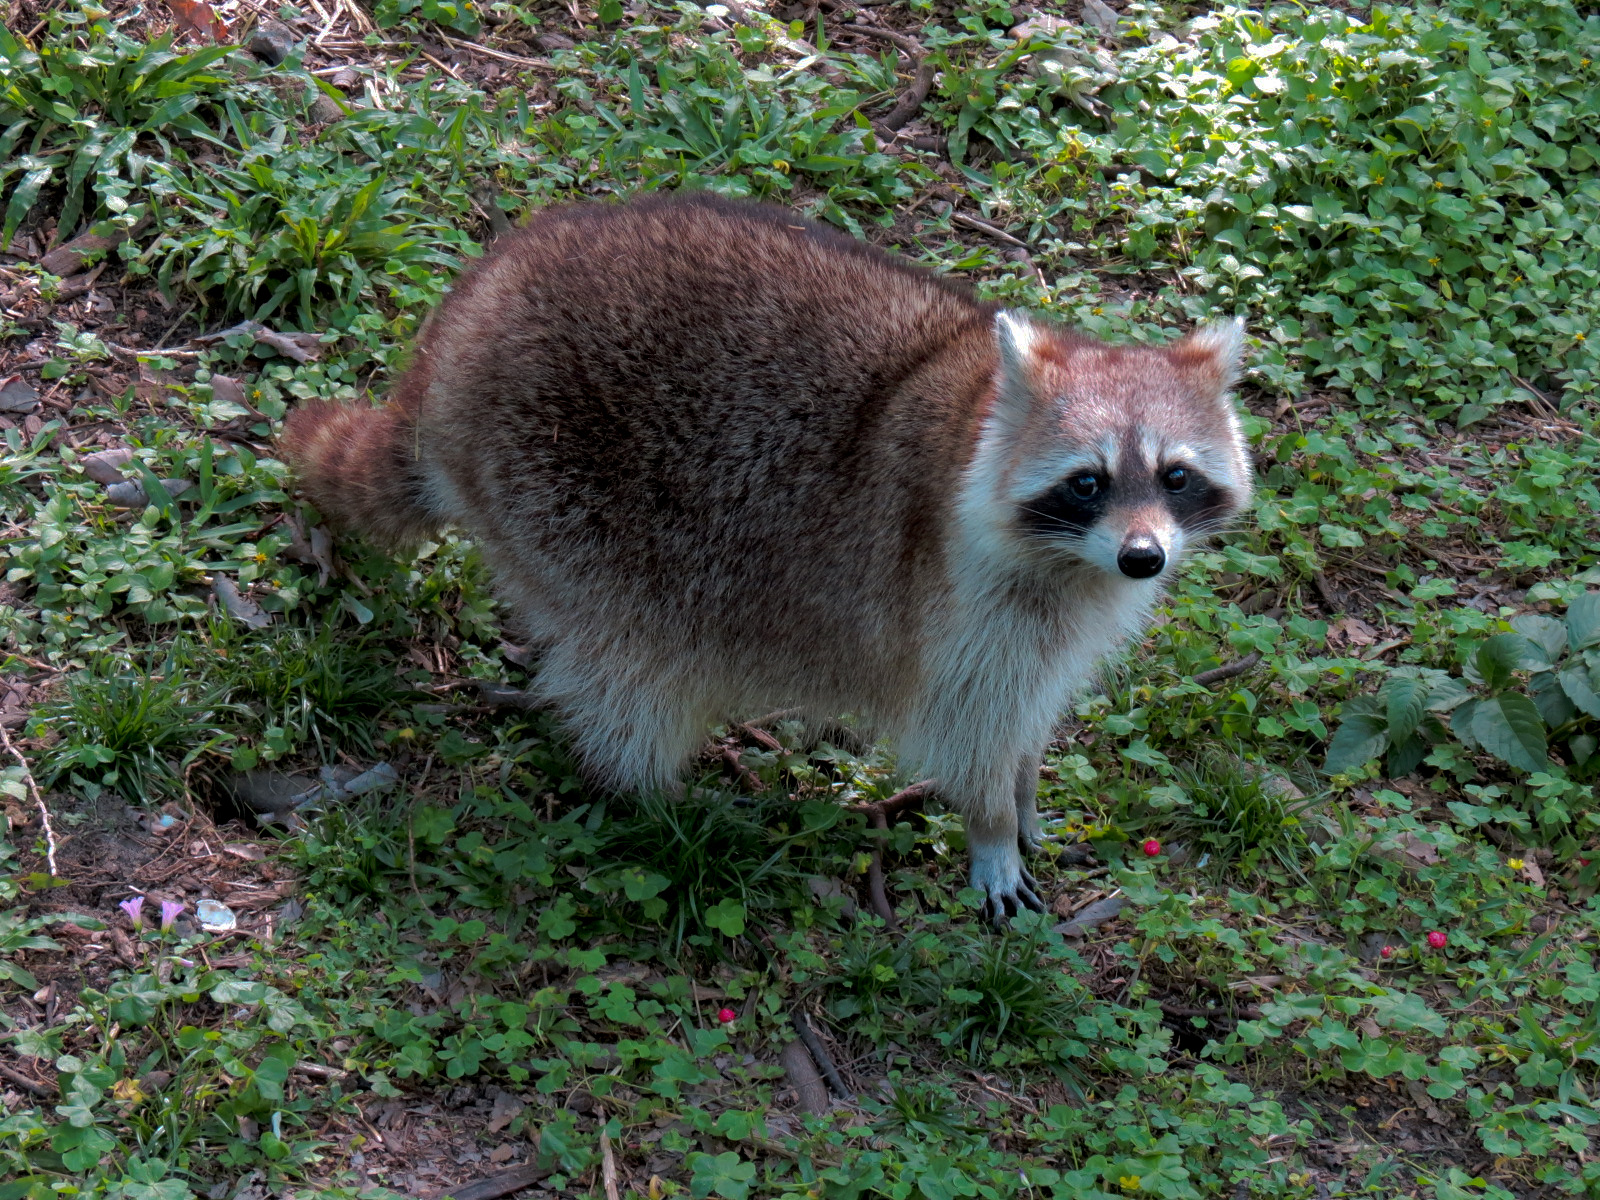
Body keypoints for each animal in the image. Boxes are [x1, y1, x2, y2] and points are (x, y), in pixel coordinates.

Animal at [281, 193, 1252, 921]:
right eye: (1088, 482)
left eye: (1174, 476)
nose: (1143, 558)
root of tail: (453, 333)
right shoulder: (959, 600)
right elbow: (968, 724)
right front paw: (990, 827)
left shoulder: (1063, 609)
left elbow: (1030, 712)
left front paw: (1025, 794)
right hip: (556, 483)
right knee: (635, 658)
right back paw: (648, 794)